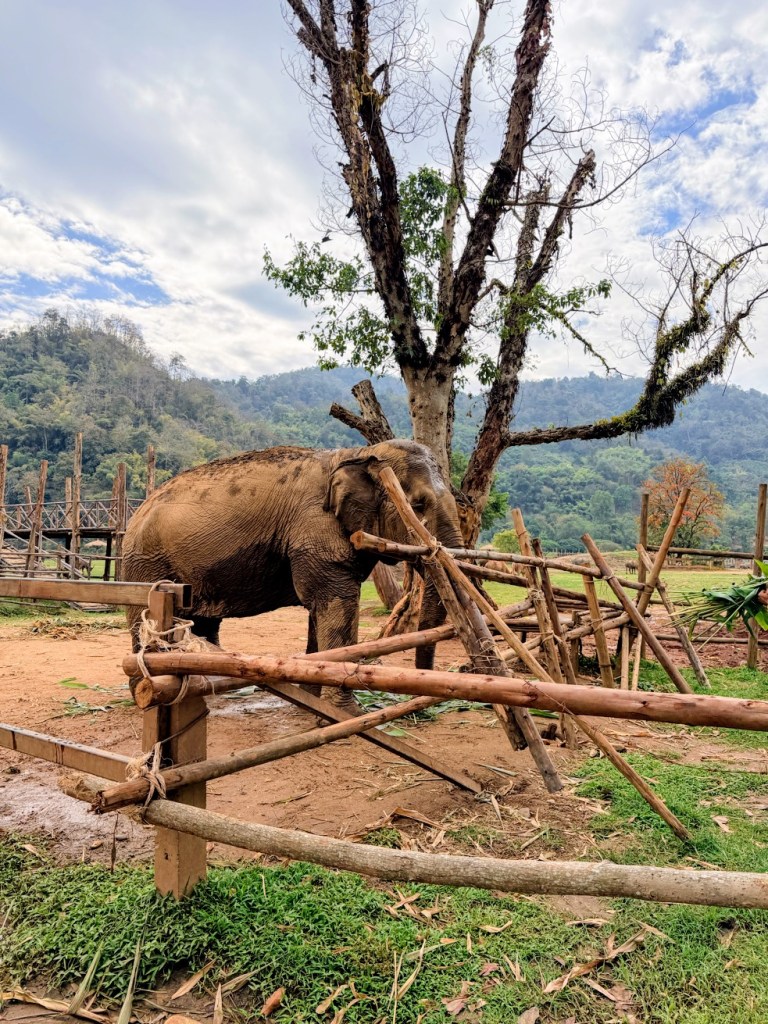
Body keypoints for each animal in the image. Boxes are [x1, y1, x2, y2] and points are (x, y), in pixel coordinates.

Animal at [123, 439, 464, 707]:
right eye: (417, 505)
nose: (419, 700)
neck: (357, 451)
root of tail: (138, 510)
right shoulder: (315, 529)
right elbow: (336, 601)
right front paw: (343, 713)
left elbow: (320, 607)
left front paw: (311, 700)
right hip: (146, 564)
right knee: (148, 621)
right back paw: (146, 693)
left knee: (204, 622)